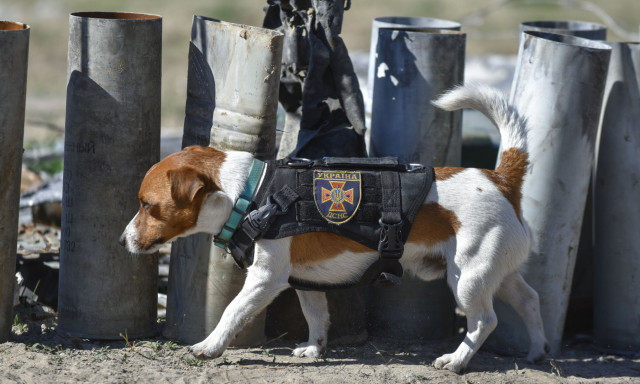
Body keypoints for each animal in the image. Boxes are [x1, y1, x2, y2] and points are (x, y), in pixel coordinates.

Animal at [121, 85, 552, 372]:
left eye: (146, 205)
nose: (122, 240)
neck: (250, 192)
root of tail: (500, 177)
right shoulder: (305, 281)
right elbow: (316, 317)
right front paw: (315, 349)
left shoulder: (265, 279)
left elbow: (231, 312)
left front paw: (209, 346)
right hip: (498, 273)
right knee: (530, 300)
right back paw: (537, 351)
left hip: (468, 278)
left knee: (485, 321)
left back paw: (456, 359)